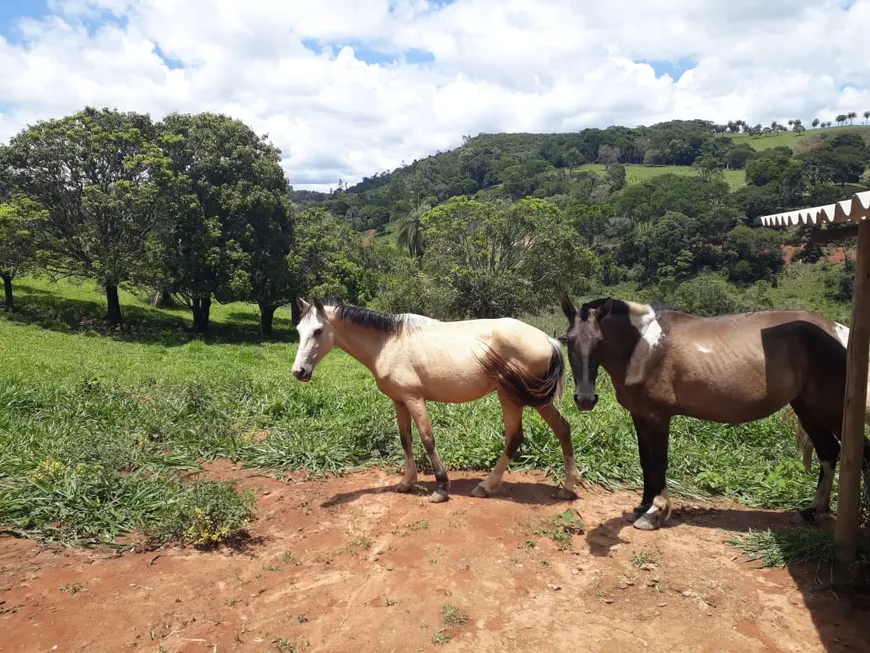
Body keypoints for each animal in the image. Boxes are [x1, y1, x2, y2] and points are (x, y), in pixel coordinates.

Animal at [290, 298, 584, 502]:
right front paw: (406, 483)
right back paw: (566, 488)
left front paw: (441, 488)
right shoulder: (399, 401)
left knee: (516, 437)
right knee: (561, 429)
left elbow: (427, 439)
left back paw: (487, 485)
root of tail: (549, 340)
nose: (299, 372)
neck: (388, 342)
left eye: (318, 330)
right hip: (530, 398)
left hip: (513, 397)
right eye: (299, 330)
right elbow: (406, 439)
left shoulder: (414, 398)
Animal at [564, 296, 868, 528]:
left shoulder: (658, 417)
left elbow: (659, 462)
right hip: (806, 408)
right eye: (568, 340)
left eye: (601, 340)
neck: (644, 347)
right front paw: (643, 506)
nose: (585, 398)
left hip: (832, 409)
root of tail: (841, 331)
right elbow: (645, 462)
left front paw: (655, 512)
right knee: (829, 451)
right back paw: (812, 511)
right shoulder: (640, 416)